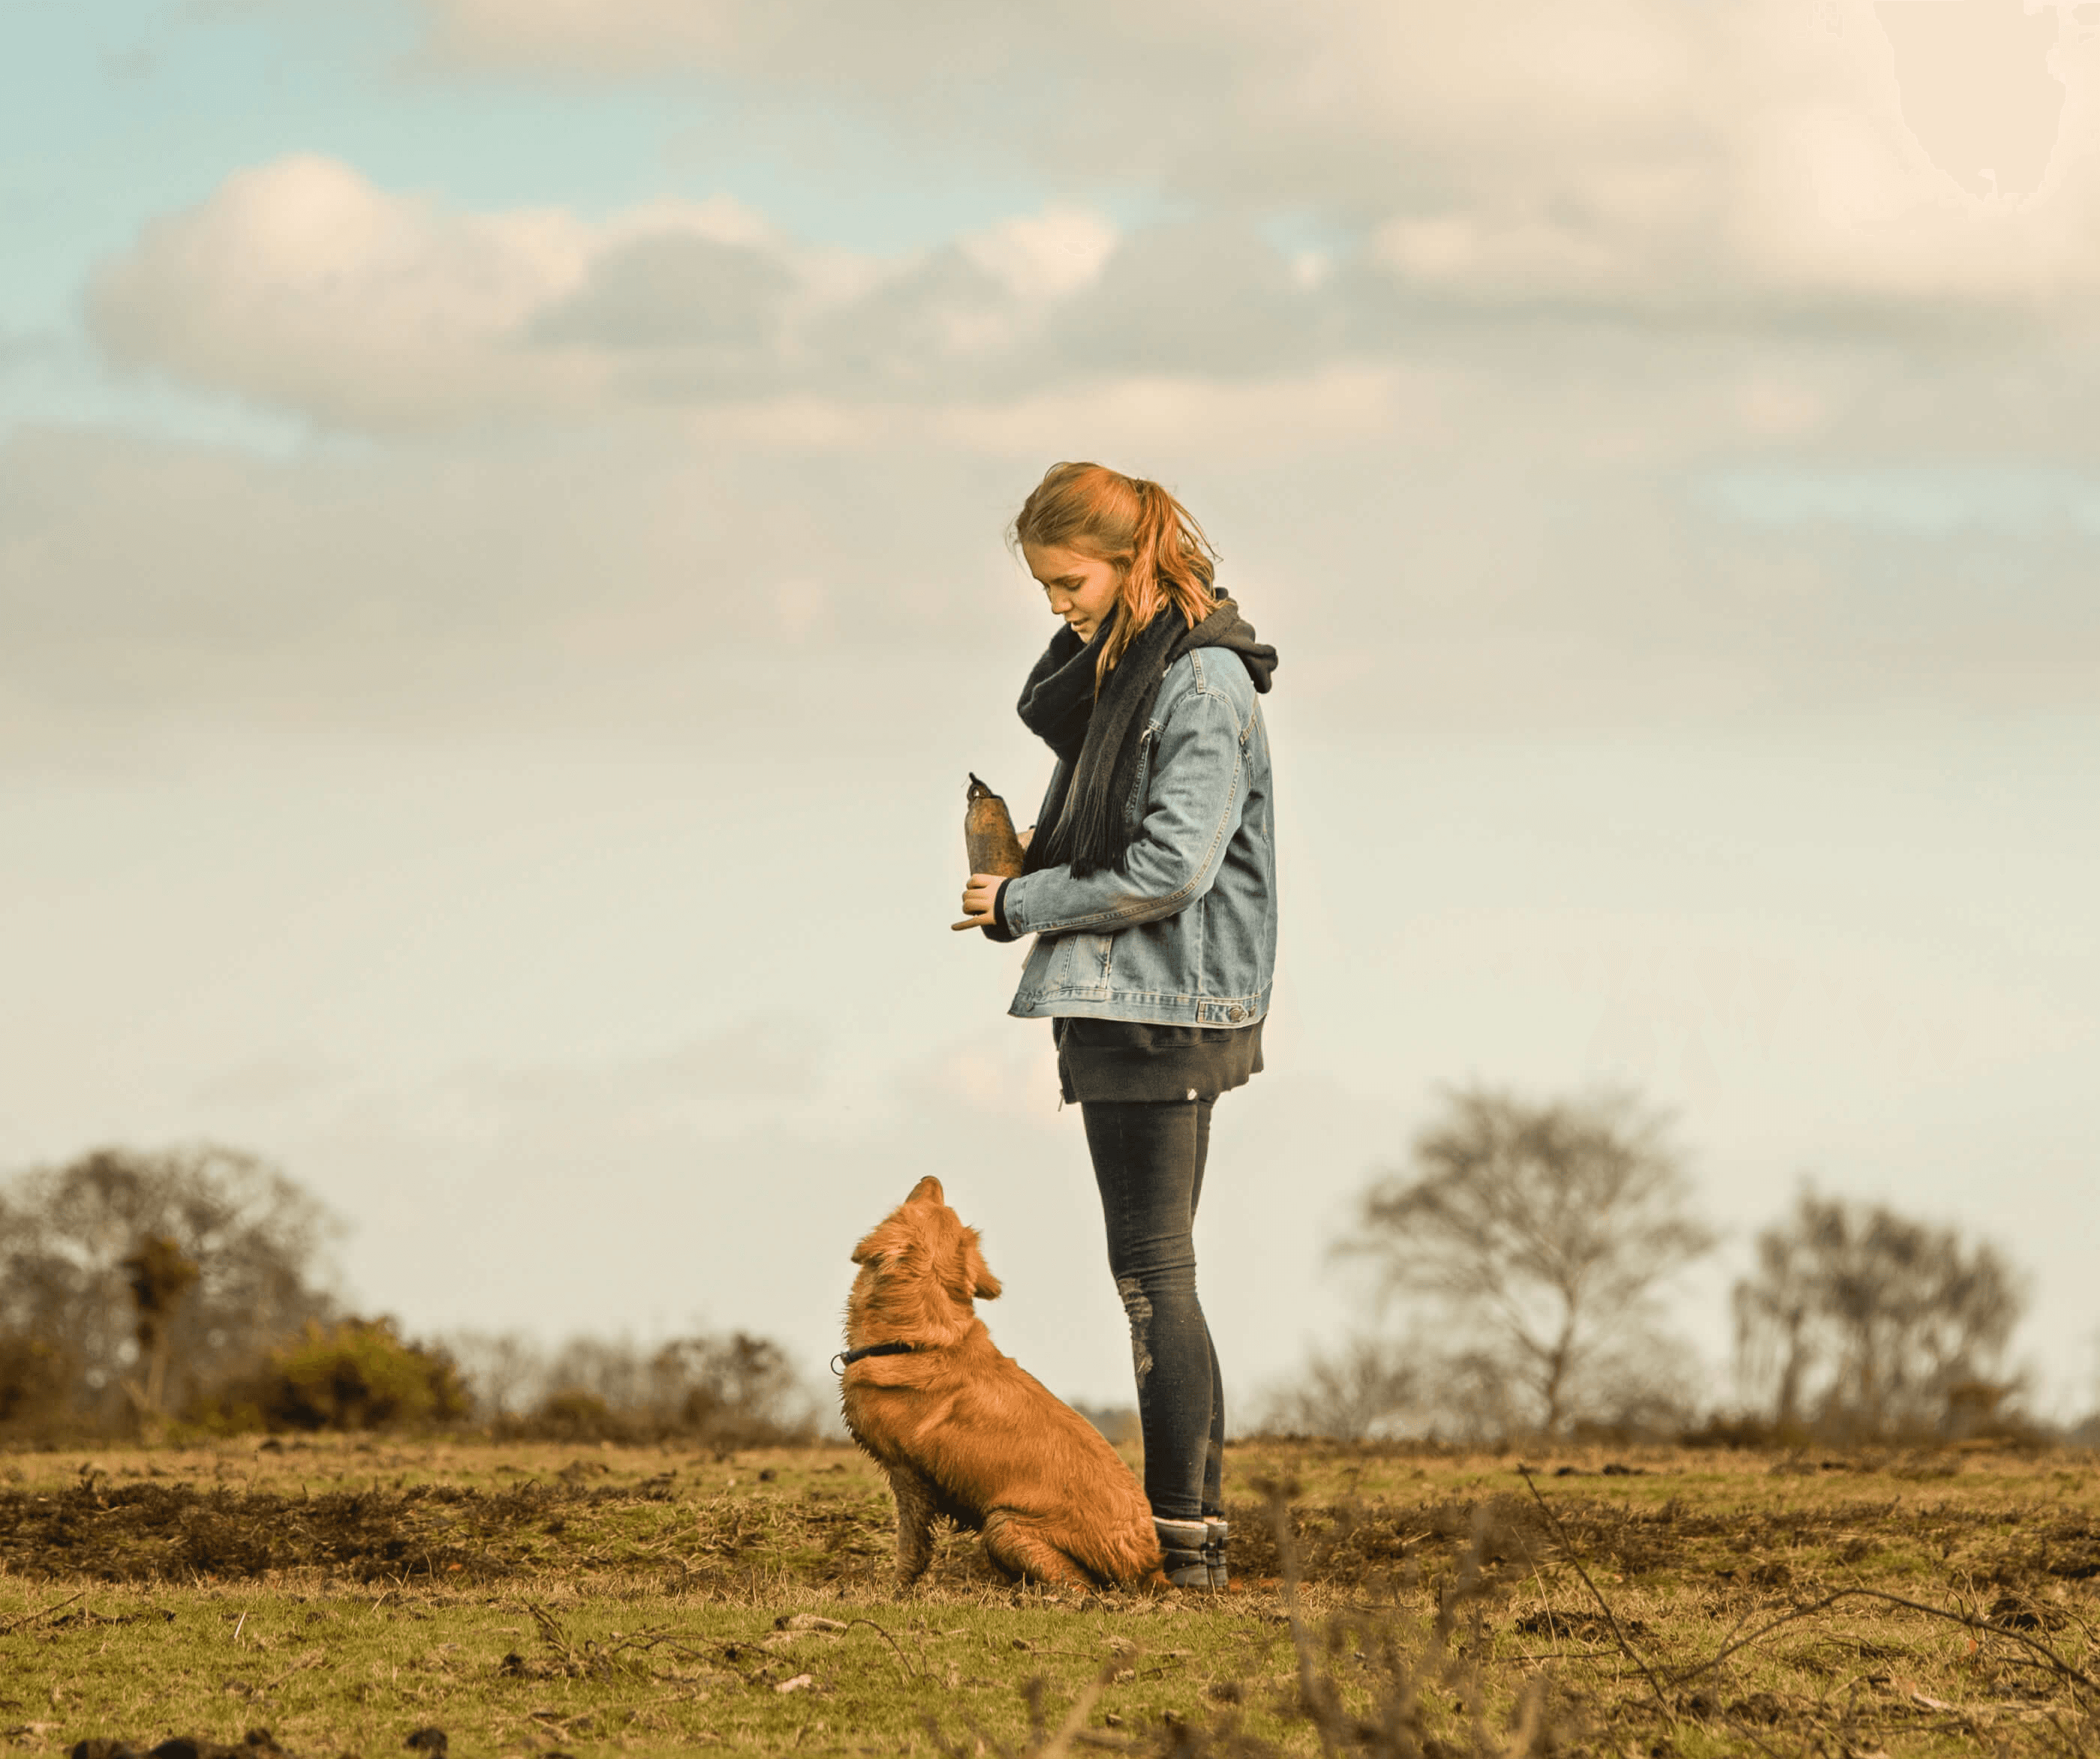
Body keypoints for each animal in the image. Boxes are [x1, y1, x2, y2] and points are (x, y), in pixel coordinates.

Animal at [835, 1176, 1167, 1589]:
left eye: (920, 1204)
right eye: (941, 1205)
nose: (932, 1179)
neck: (918, 1340)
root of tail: (1151, 1566)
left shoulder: (908, 1474)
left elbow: (910, 1547)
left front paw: (895, 1591)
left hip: (1003, 1524)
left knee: (1084, 1588)